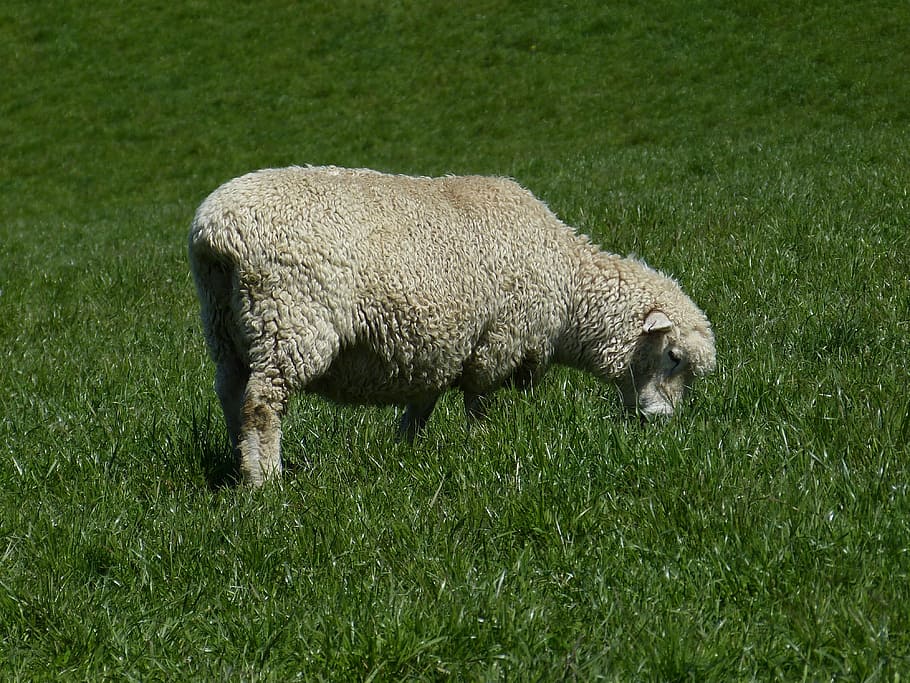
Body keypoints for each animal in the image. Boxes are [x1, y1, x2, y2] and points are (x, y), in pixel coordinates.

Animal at [189, 166, 716, 486]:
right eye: (673, 357)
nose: (662, 424)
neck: (569, 289)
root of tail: (215, 231)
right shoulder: (498, 341)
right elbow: (477, 402)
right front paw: (483, 445)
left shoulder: (439, 347)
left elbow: (423, 404)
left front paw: (404, 448)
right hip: (289, 319)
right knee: (262, 404)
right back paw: (266, 483)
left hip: (226, 327)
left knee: (231, 394)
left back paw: (242, 467)